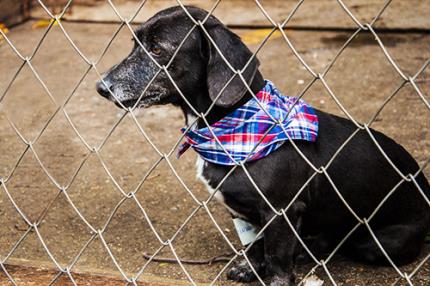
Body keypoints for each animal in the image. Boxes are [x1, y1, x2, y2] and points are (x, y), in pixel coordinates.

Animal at [95, 5, 430, 284]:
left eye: (156, 49)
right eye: (135, 44)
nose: (101, 87)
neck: (232, 126)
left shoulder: (280, 212)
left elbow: (277, 257)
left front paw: (277, 277)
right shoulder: (245, 214)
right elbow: (256, 247)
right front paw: (250, 269)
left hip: (378, 243)